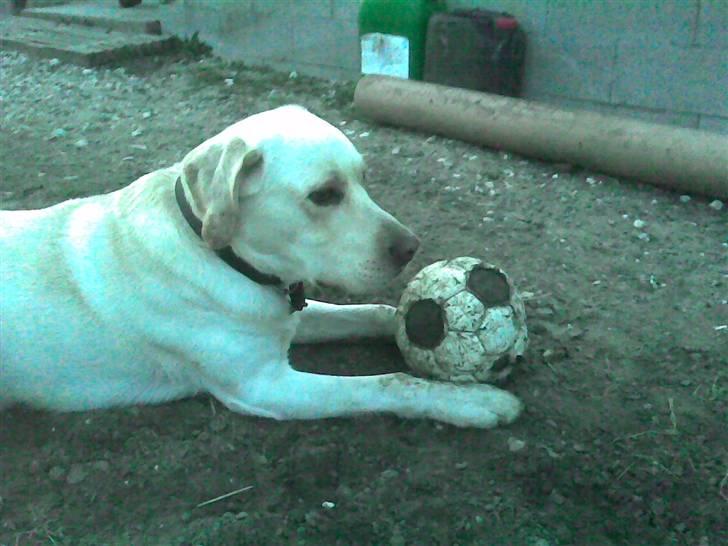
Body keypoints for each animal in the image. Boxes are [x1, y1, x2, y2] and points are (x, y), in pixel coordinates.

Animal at [1, 106, 524, 428]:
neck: (220, 255)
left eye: (363, 178)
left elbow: (375, 312)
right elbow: (388, 383)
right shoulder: (265, 386)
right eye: (324, 195)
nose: (411, 248)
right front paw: (472, 402)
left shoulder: (289, 314)